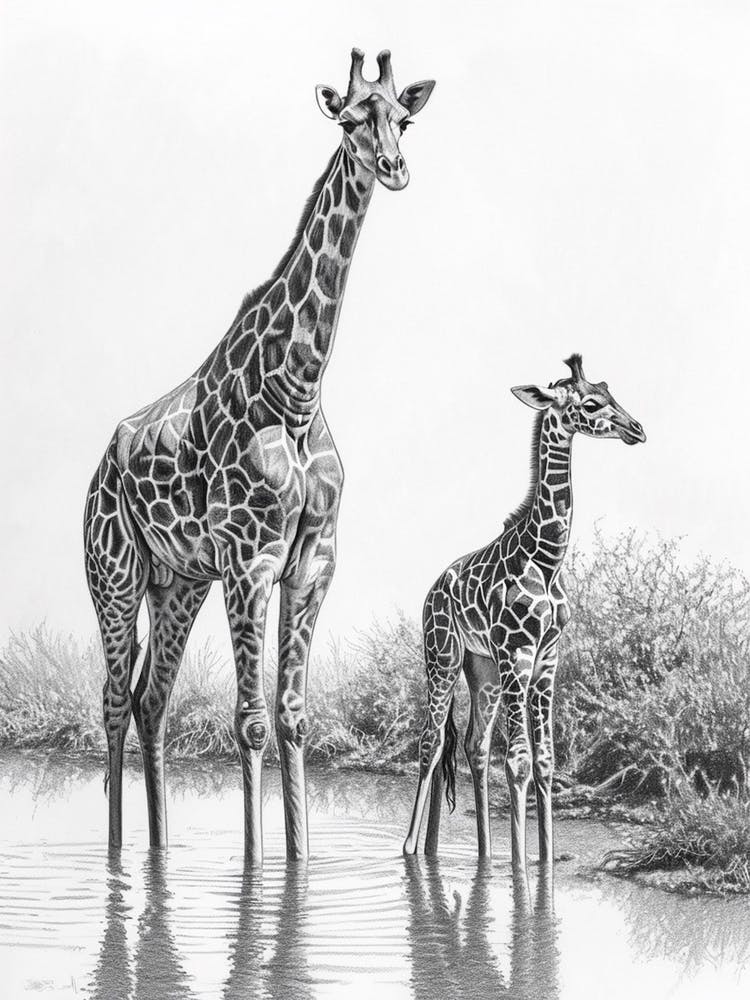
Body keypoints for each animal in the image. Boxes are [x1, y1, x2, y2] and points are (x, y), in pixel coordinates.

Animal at [84, 48, 435, 862]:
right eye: (350, 119)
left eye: (402, 120)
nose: (394, 167)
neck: (298, 391)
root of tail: (98, 469)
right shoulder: (250, 562)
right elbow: (248, 722)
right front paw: (256, 867)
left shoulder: (312, 561)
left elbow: (293, 715)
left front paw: (298, 864)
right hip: (115, 578)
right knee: (114, 700)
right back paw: (117, 856)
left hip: (178, 582)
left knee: (151, 699)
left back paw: (160, 852)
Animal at [403, 355, 646, 872]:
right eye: (591, 403)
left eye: (611, 392)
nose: (637, 428)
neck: (548, 558)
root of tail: (432, 590)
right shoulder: (518, 653)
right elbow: (517, 760)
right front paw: (520, 870)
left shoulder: (547, 659)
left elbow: (546, 759)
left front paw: (544, 861)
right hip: (444, 658)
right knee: (431, 743)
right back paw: (412, 849)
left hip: (482, 669)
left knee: (471, 745)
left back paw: (470, 854)